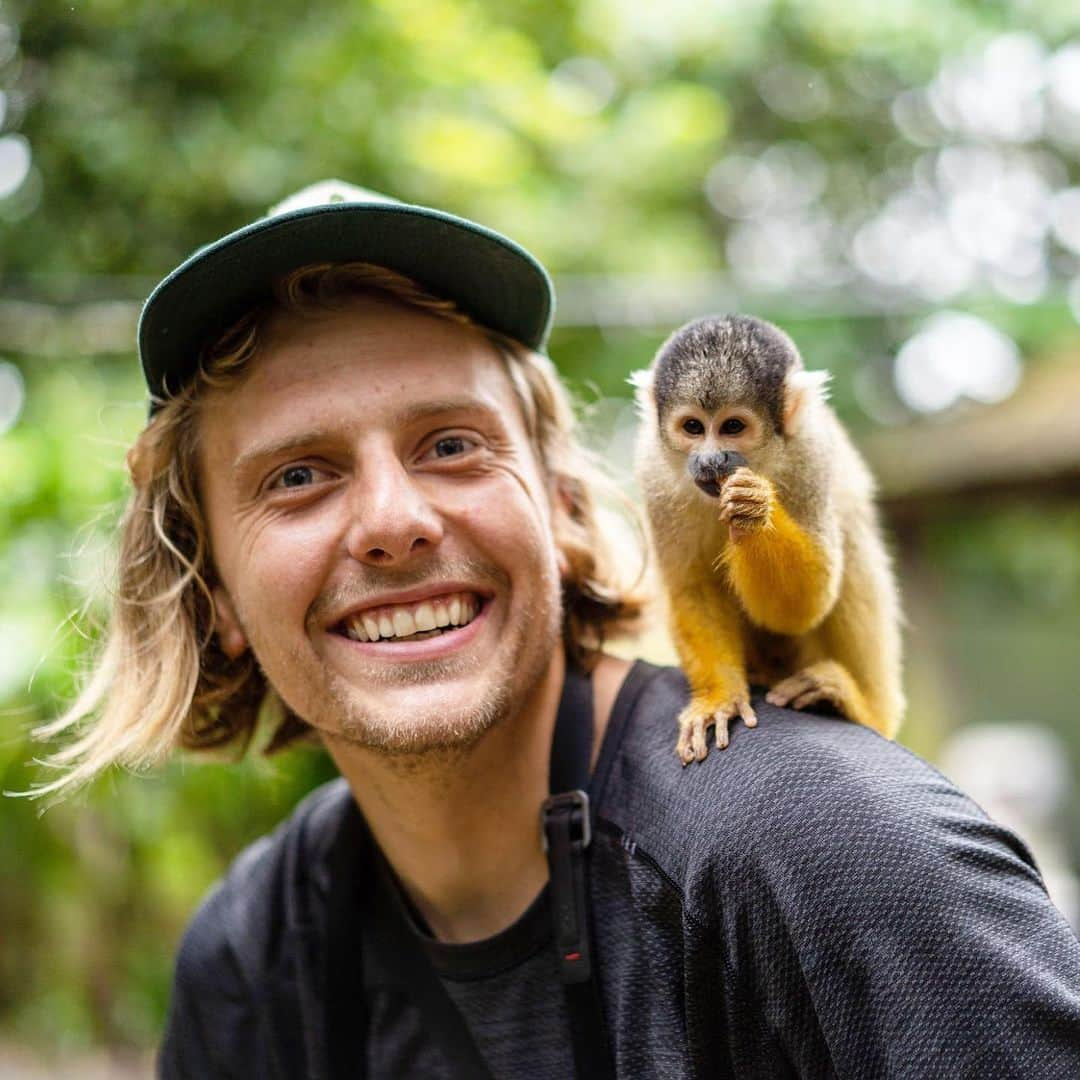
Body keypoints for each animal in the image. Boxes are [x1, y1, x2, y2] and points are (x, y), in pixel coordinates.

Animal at [630, 315, 902, 764]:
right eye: (693, 427)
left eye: (733, 427)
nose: (710, 460)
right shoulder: (652, 471)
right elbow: (693, 587)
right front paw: (719, 698)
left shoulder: (810, 455)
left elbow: (804, 606)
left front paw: (754, 511)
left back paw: (861, 706)